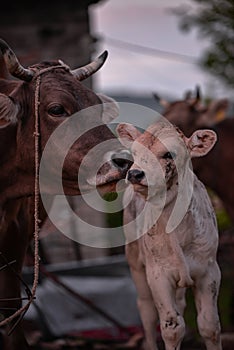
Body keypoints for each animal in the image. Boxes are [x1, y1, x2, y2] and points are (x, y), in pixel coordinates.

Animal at [118, 120, 222, 350]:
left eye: (169, 154)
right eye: (135, 152)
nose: (135, 174)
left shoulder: (209, 271)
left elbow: (210, 326)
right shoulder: (158, 275)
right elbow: (172, 327)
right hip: (135, 262)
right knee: (146, 311)